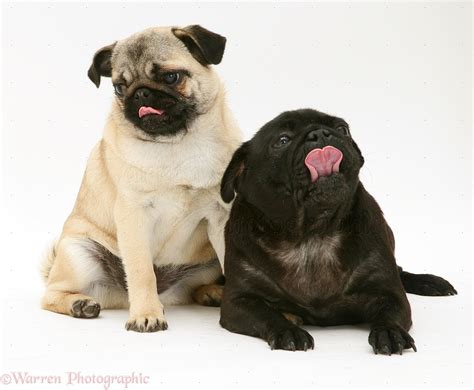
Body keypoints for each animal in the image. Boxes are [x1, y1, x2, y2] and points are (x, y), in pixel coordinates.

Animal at [40, 24, 241, 330]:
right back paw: (80, 303)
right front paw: (146, 313)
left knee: (196, 287)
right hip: (79, 253)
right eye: (119, 88)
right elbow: (142, 271)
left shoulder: (220, 217)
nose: (141, 94)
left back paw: (211, 292)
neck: (177, 143)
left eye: (171, 77)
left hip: (207, 261)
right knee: (51, 294)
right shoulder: (133, 214)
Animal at [218, 108, 456, 352]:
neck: (312, 235)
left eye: (343, 129)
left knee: (400, 272)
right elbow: (268, 315)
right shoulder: (238, 301)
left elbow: (388, 314)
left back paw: (430, 282)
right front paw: (288, 331)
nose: (320, 134)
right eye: (282, 140)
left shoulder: (389, 293)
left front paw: (389, 332)